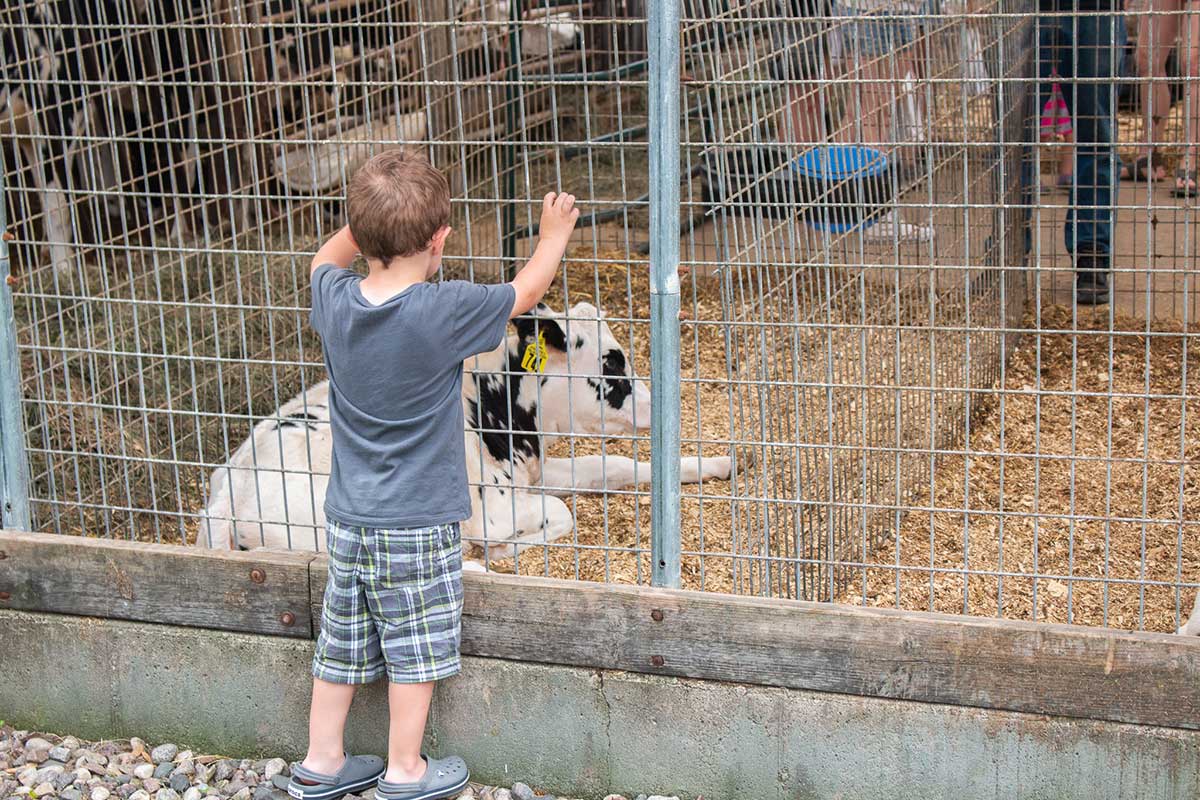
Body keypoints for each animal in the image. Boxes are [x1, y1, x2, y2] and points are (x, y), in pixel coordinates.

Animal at [196, 303, 729, 566]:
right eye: (612, 362)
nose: (656, 405)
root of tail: (231, 492)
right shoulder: (492, 507)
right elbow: (559, 514)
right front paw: (504, 549)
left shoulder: (534, 470)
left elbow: (614, 465)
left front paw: (718, 463)